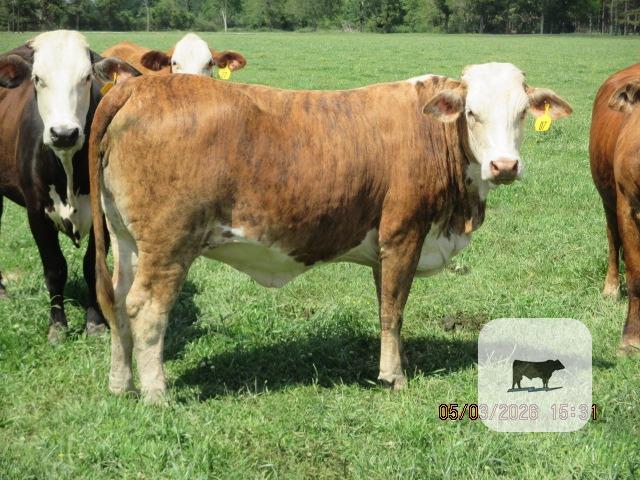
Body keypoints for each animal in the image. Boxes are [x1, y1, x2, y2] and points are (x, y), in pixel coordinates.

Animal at [0, 30, 141, 342]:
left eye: (87, 77)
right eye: (37, 78)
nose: (64, 133)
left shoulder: (102, 212)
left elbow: (92, 266)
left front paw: (95, 322)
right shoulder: (36, 214)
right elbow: (54, 269)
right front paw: (58, 326)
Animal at [88, 63, 572, 403]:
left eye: (522, 113)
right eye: (472, 113)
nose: (504, 166)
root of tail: (140, 86)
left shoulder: (385, 247)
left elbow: (388, 307)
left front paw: (399, 360)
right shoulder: (404, 234)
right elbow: (393, 309)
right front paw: (394, 376)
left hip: (127, 241)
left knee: (117, 300)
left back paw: (120, 383)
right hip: (169, 243)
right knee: (146, 308)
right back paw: (156, 393)